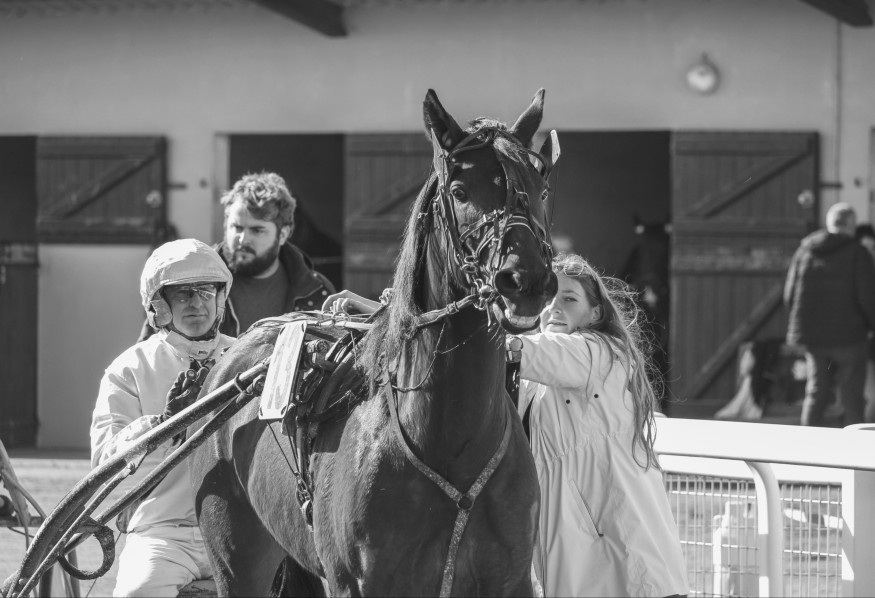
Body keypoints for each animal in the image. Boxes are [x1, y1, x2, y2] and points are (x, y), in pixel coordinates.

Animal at [190, 89, 560, 597]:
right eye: (460, 192)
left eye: (540, 188)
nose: (525, 279)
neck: (451, 445)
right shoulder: (359, 583)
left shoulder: (512, 579)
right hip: (234, 556)